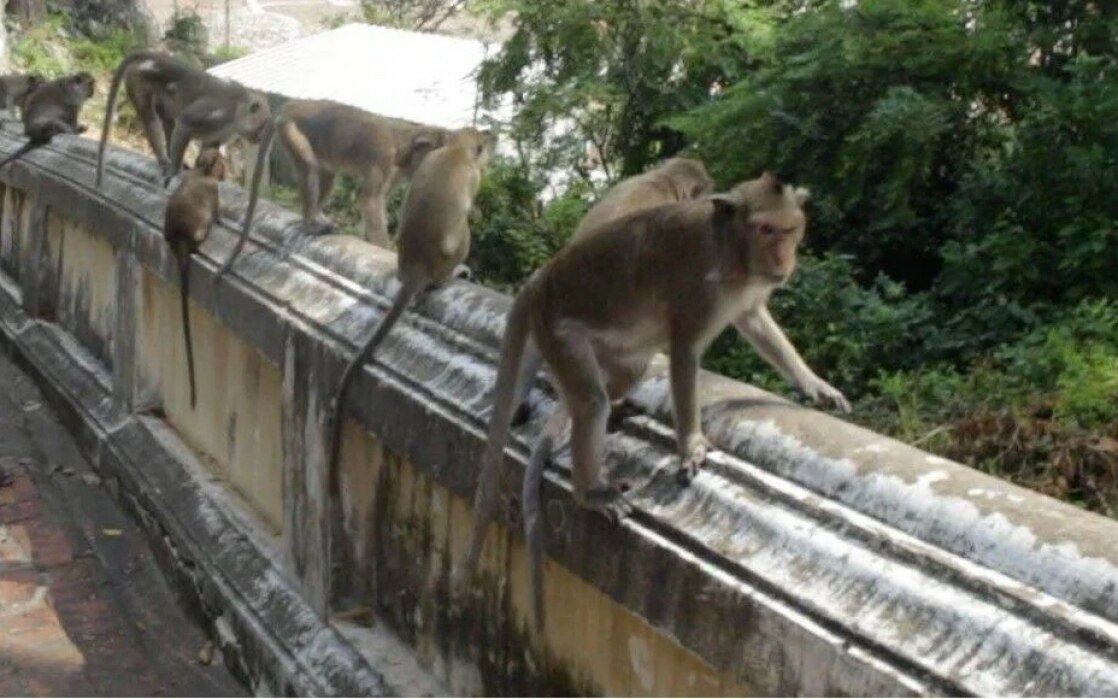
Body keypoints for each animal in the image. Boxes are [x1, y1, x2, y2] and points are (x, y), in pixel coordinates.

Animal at [95, 49, 270, 189]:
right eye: (261, 126)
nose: (261, 138)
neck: (237, 114)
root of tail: (158, 56)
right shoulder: (218, 112)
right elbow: (185, 124)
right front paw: (174, 170)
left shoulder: (227, 131)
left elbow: (210, 146)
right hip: (139, 78)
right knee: (150, 118)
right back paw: (165, 161)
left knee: (167, 119)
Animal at [324, 124, 498, 496]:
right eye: (483, 143)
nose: (493, 138)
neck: (455, 150)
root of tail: (416, 268)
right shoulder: (473, 176)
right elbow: (467, 215)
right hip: (445, 259)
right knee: (462, 233)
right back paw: (453, 274)